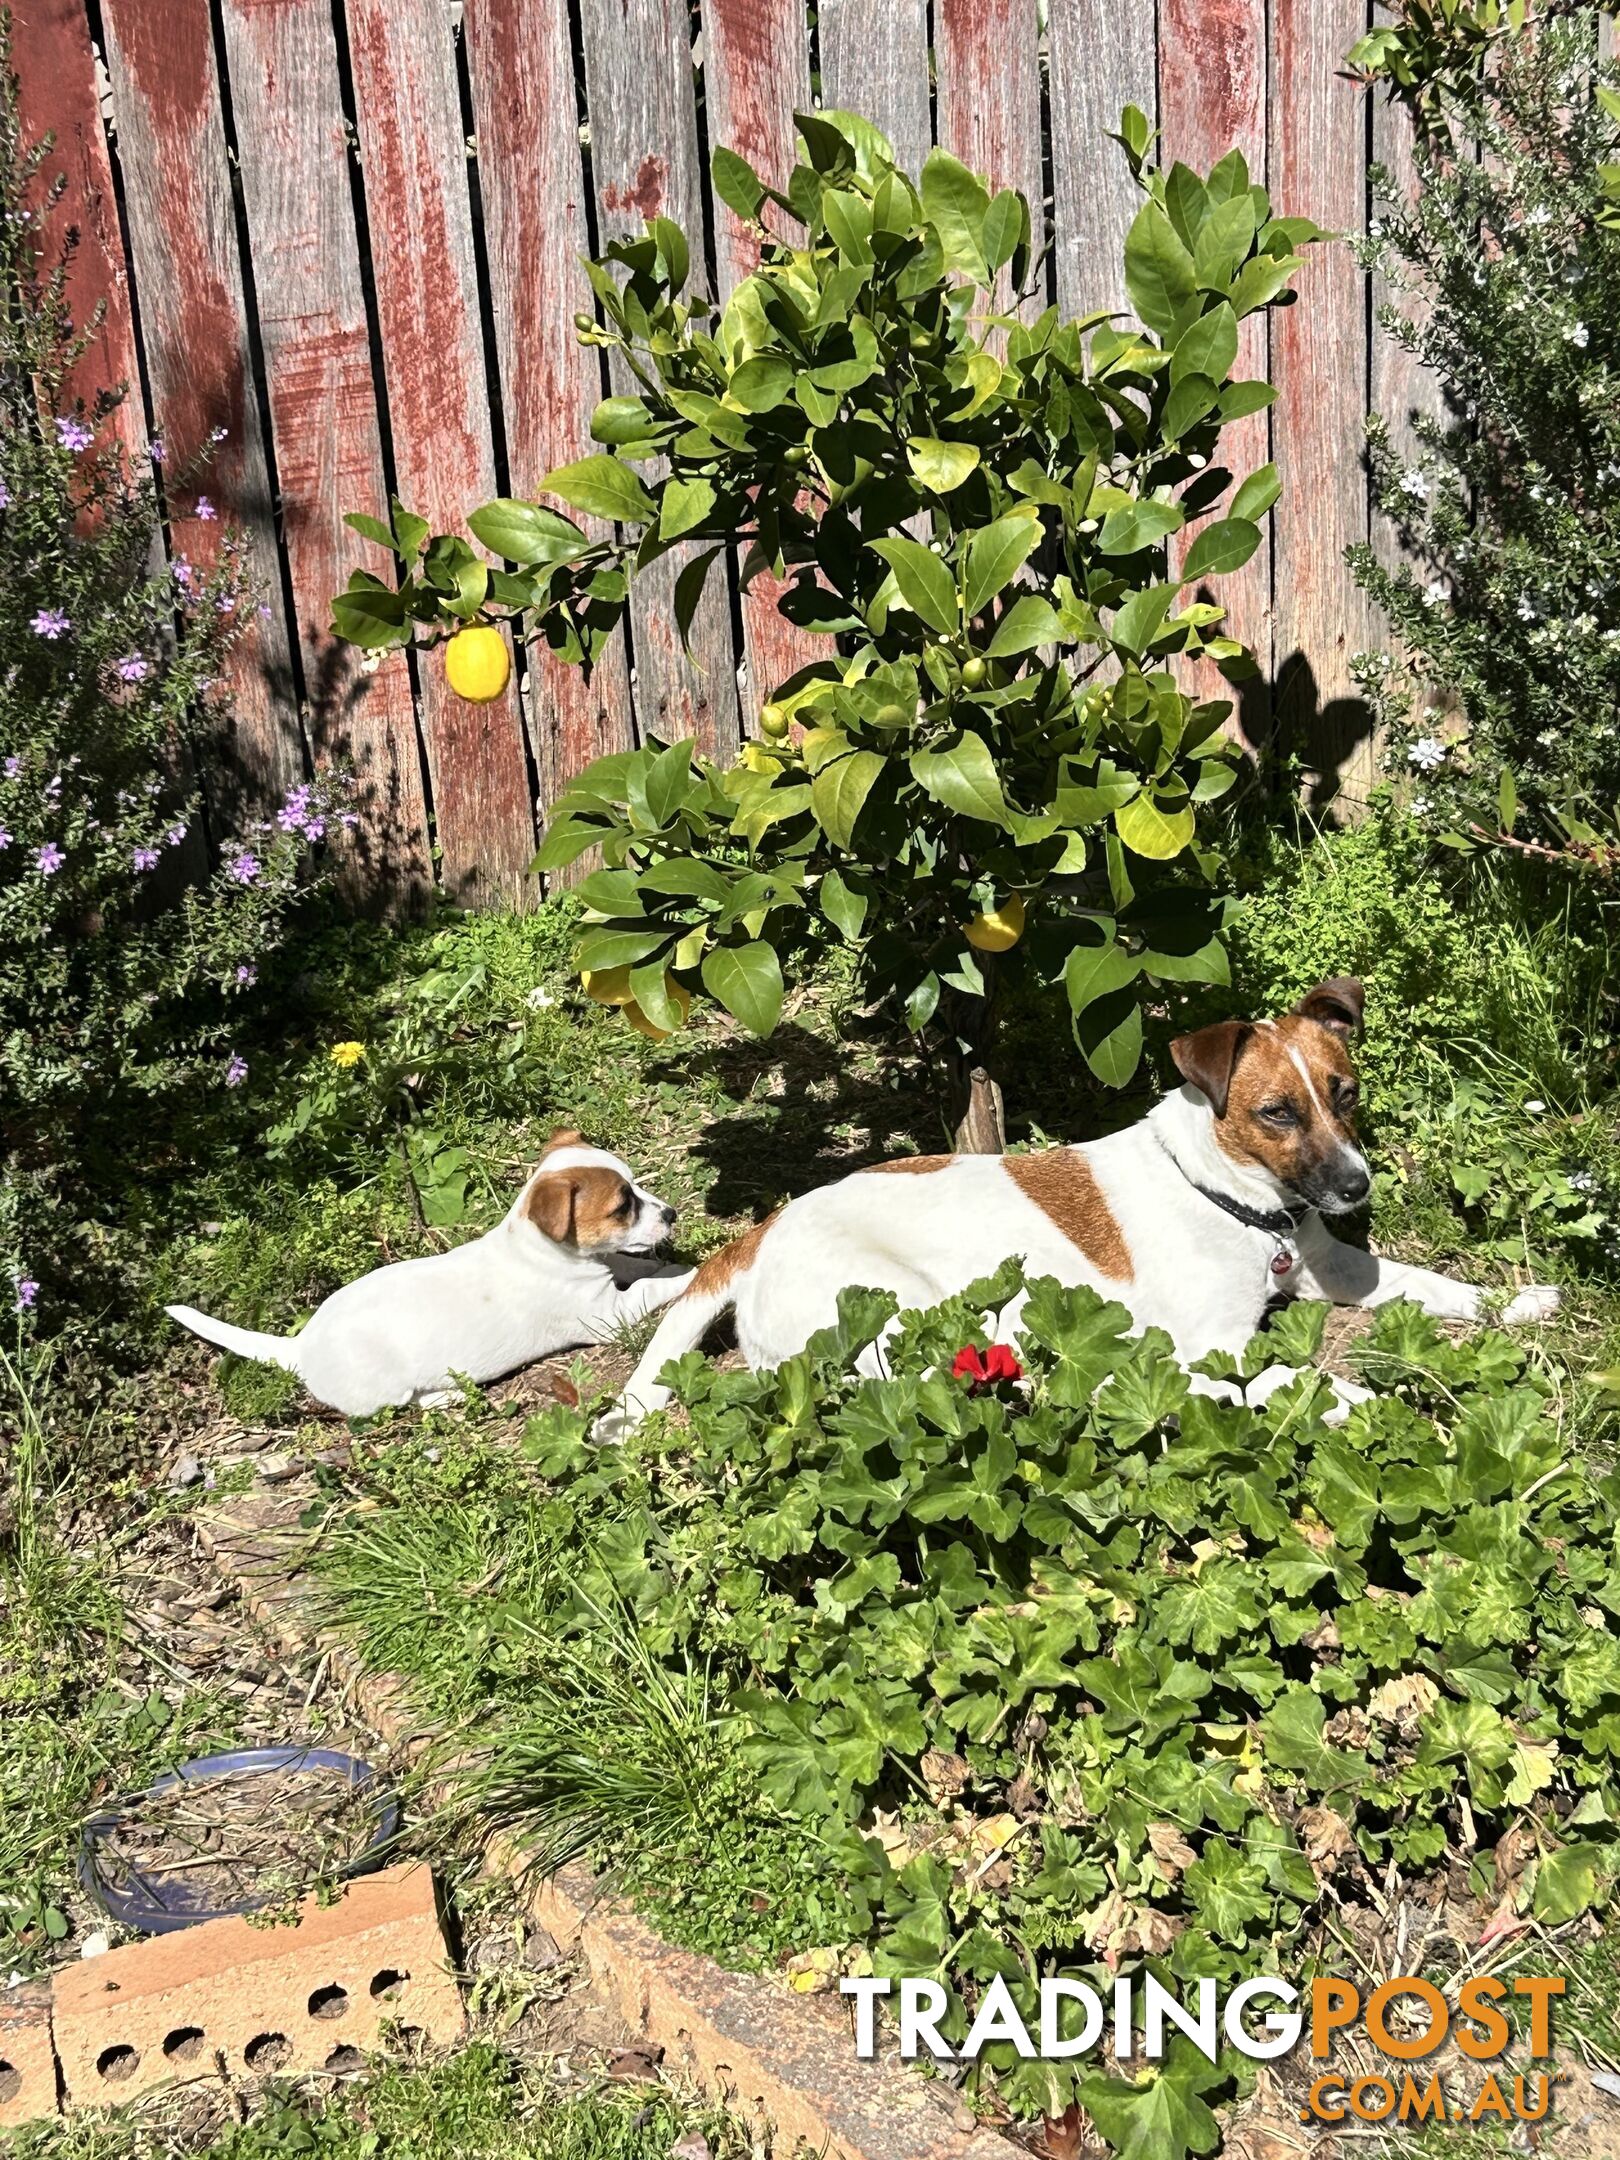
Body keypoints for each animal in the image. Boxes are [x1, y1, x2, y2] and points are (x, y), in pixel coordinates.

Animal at [166, 1131, 691, 1416]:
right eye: (622, 1206)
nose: (672, 1214)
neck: (540, 1249)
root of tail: (301, 1348)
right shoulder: (607, 1315)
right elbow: (649, 1285)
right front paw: (689, 1272)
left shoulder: (608, 1269)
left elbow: (633, 1263)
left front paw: (666, 1259)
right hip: (388, 1388)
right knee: (398, 1406)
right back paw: (450, 1397)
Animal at [604, 989, 1563, 1442]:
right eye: (1277, 1113)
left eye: (1346, 1093)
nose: (1359, 1187)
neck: (1243, 1208)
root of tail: (760, 1234)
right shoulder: (1209, 1346)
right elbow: (1311, 1382)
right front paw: (1400, 1415)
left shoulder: (1336, 1265)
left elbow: (1435, 1282)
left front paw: (1517, 1304)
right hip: (905, 1311)